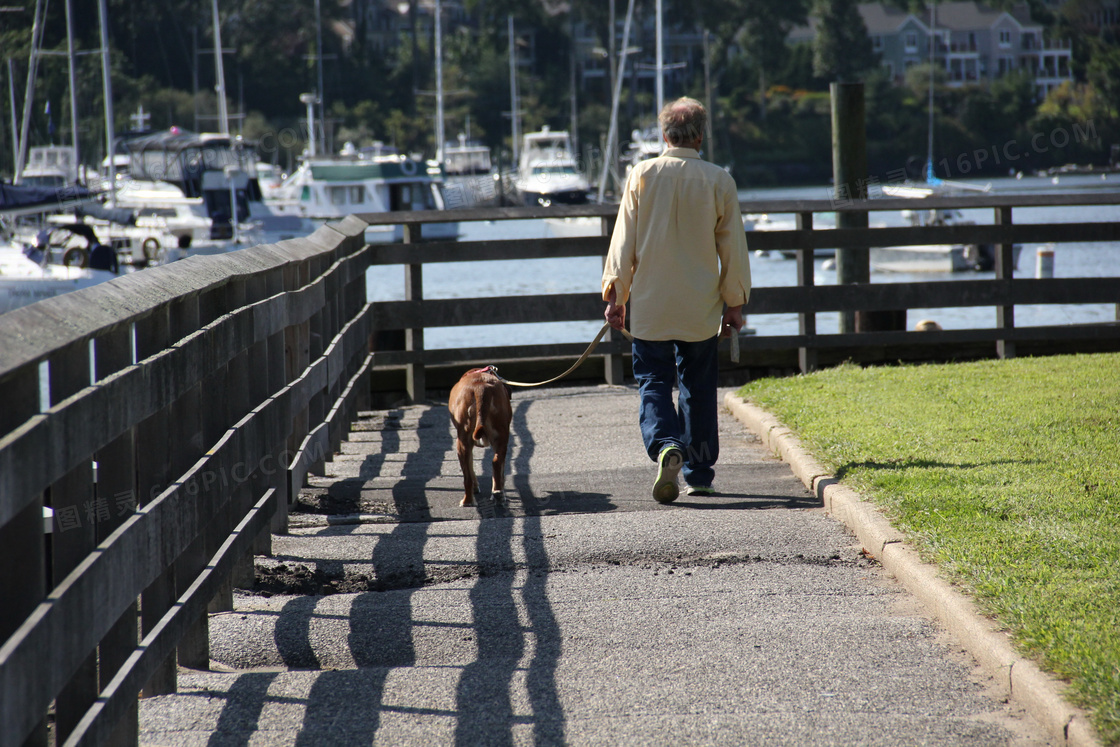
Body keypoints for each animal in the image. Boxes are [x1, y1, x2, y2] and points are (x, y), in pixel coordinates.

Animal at [448, 365, 512, 506]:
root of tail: (480, 388)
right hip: (501, 437)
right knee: (496, 463)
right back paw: (497, 493)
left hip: (463, 441)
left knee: (468, 476)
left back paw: (468, 500)